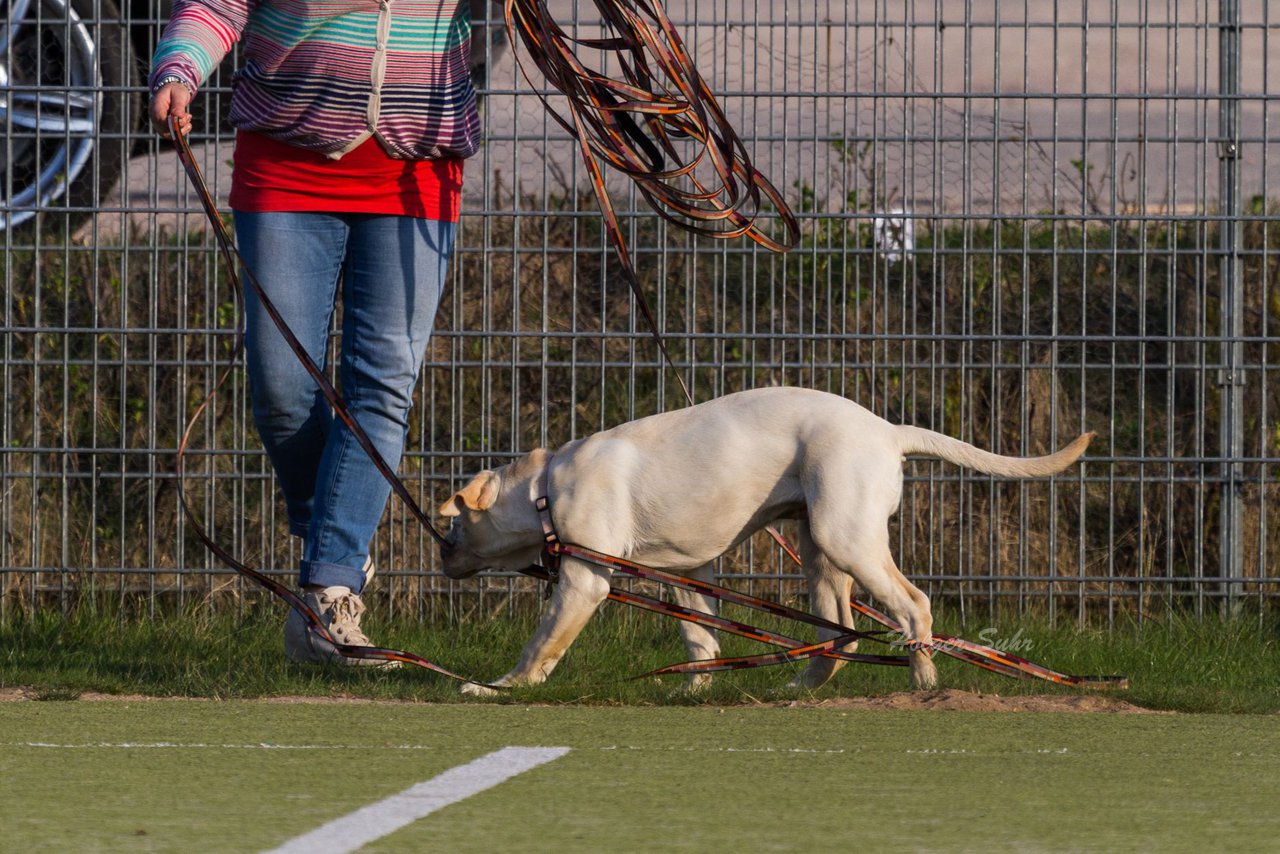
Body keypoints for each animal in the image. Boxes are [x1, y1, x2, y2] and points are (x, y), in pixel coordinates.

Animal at [437, 386, 1090, 696]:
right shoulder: (688, 574)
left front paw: (498, 688)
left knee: (913, 607)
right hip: (821, 554)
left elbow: (540, 645)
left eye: (451, 524)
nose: (440, 557)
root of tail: (887, 430)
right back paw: (796, 688)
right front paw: (693, 691)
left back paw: (923, 684)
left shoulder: (582, 582)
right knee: (839, 636)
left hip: (846, 538)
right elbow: (702, 640)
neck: (545, 490)